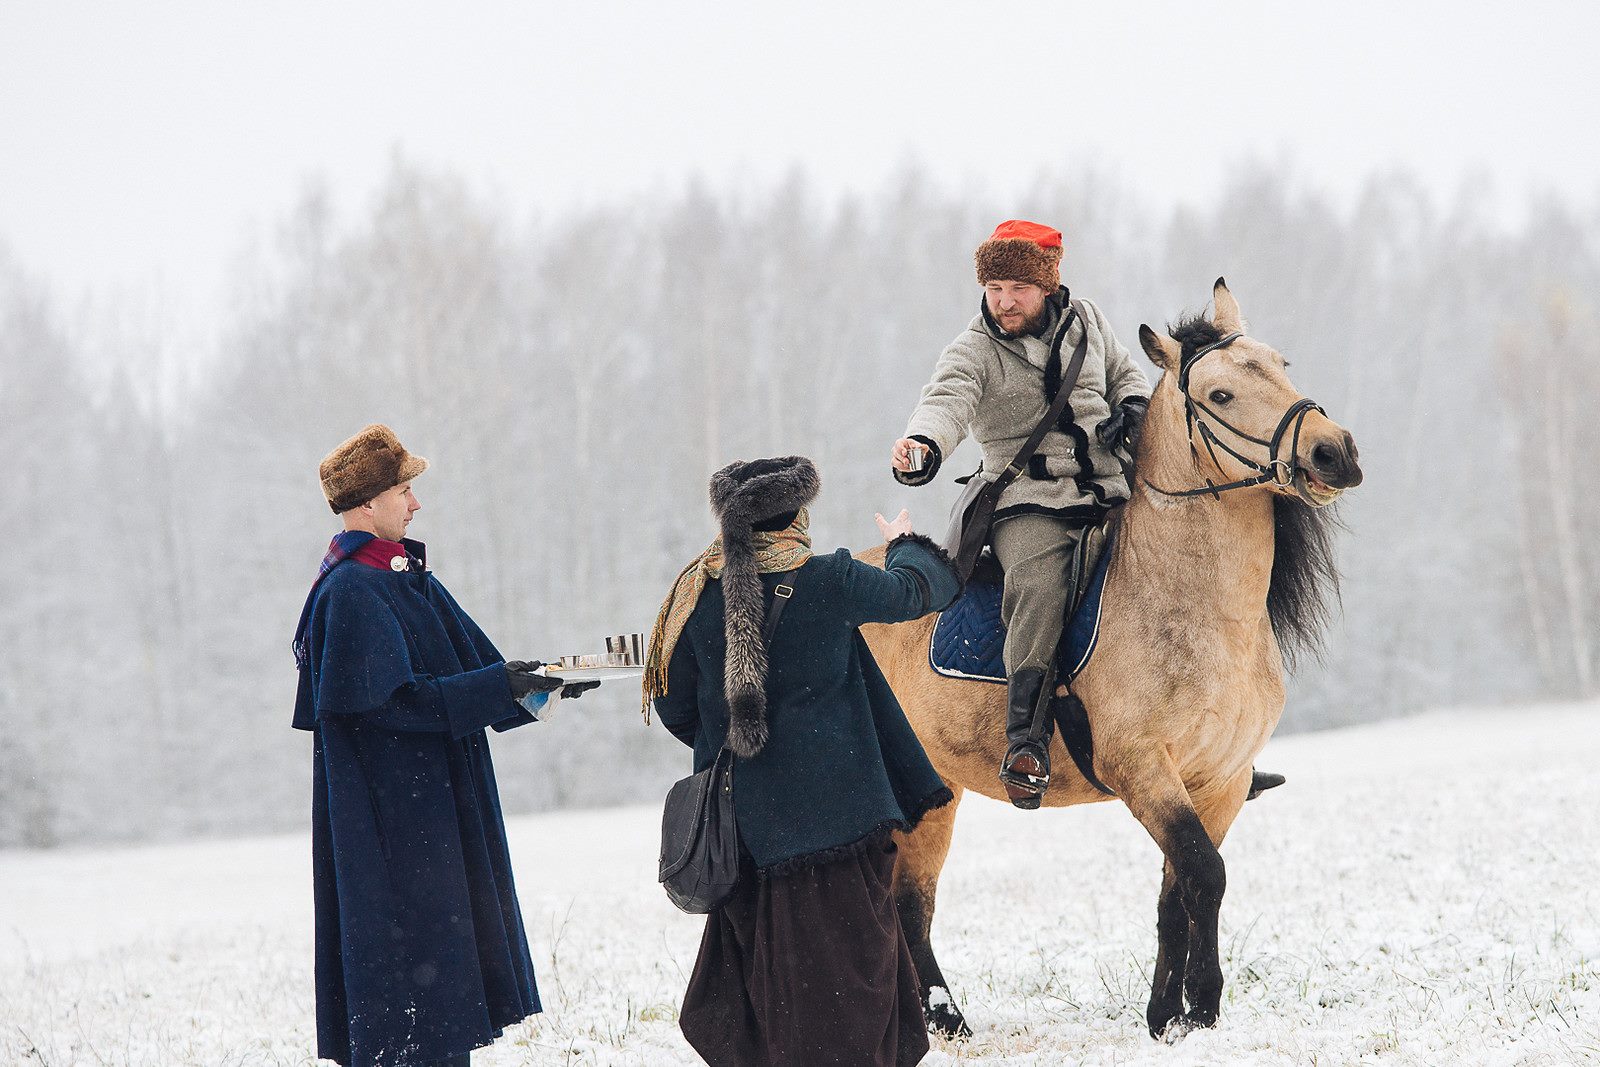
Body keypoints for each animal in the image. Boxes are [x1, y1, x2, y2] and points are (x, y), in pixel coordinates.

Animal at [864, 279, 1363, 1036]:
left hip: (936, 791)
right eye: (1219, 395)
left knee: (908, 903)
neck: (1193, 608)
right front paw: (1202, 1005)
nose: (1335, 452)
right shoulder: (1142, 768)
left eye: (1282, 364)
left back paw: (946, 1022)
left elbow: (1179, 892)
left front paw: (1169, 1016)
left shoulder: (1219, 779)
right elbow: (1205, 873)